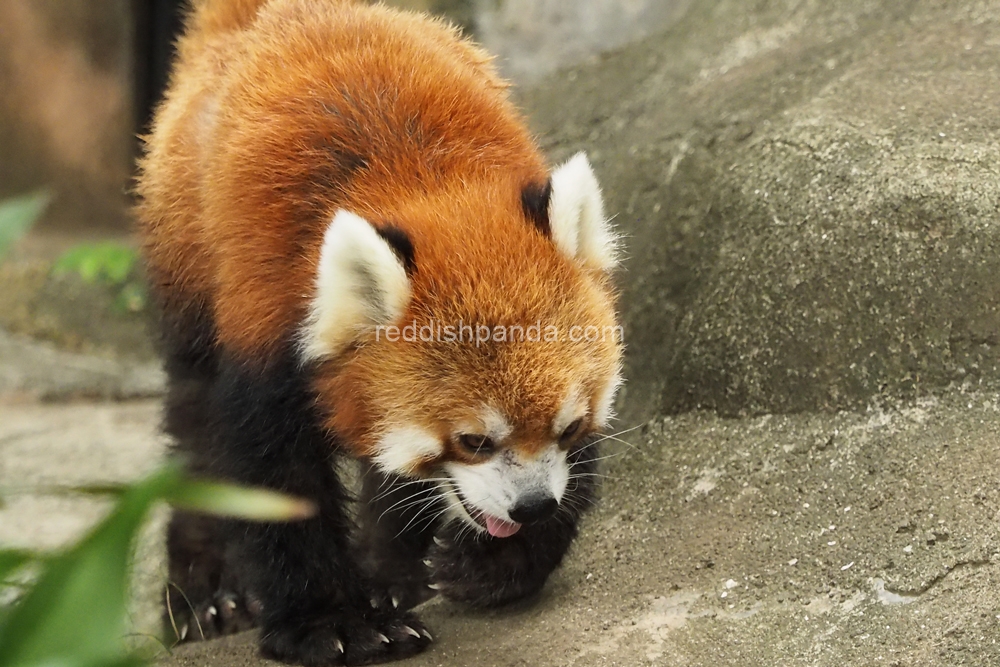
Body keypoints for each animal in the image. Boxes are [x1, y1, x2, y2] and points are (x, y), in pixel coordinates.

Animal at [137, 2, 620, 664]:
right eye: (473, 441)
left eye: (568, 426)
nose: (531, 506)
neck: (424, 185)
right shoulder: (266, 314)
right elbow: (272, 473)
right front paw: (330, 623)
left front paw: (496, 564)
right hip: (189, 272)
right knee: (196, 425)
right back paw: (208, 598)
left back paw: (389, 573)